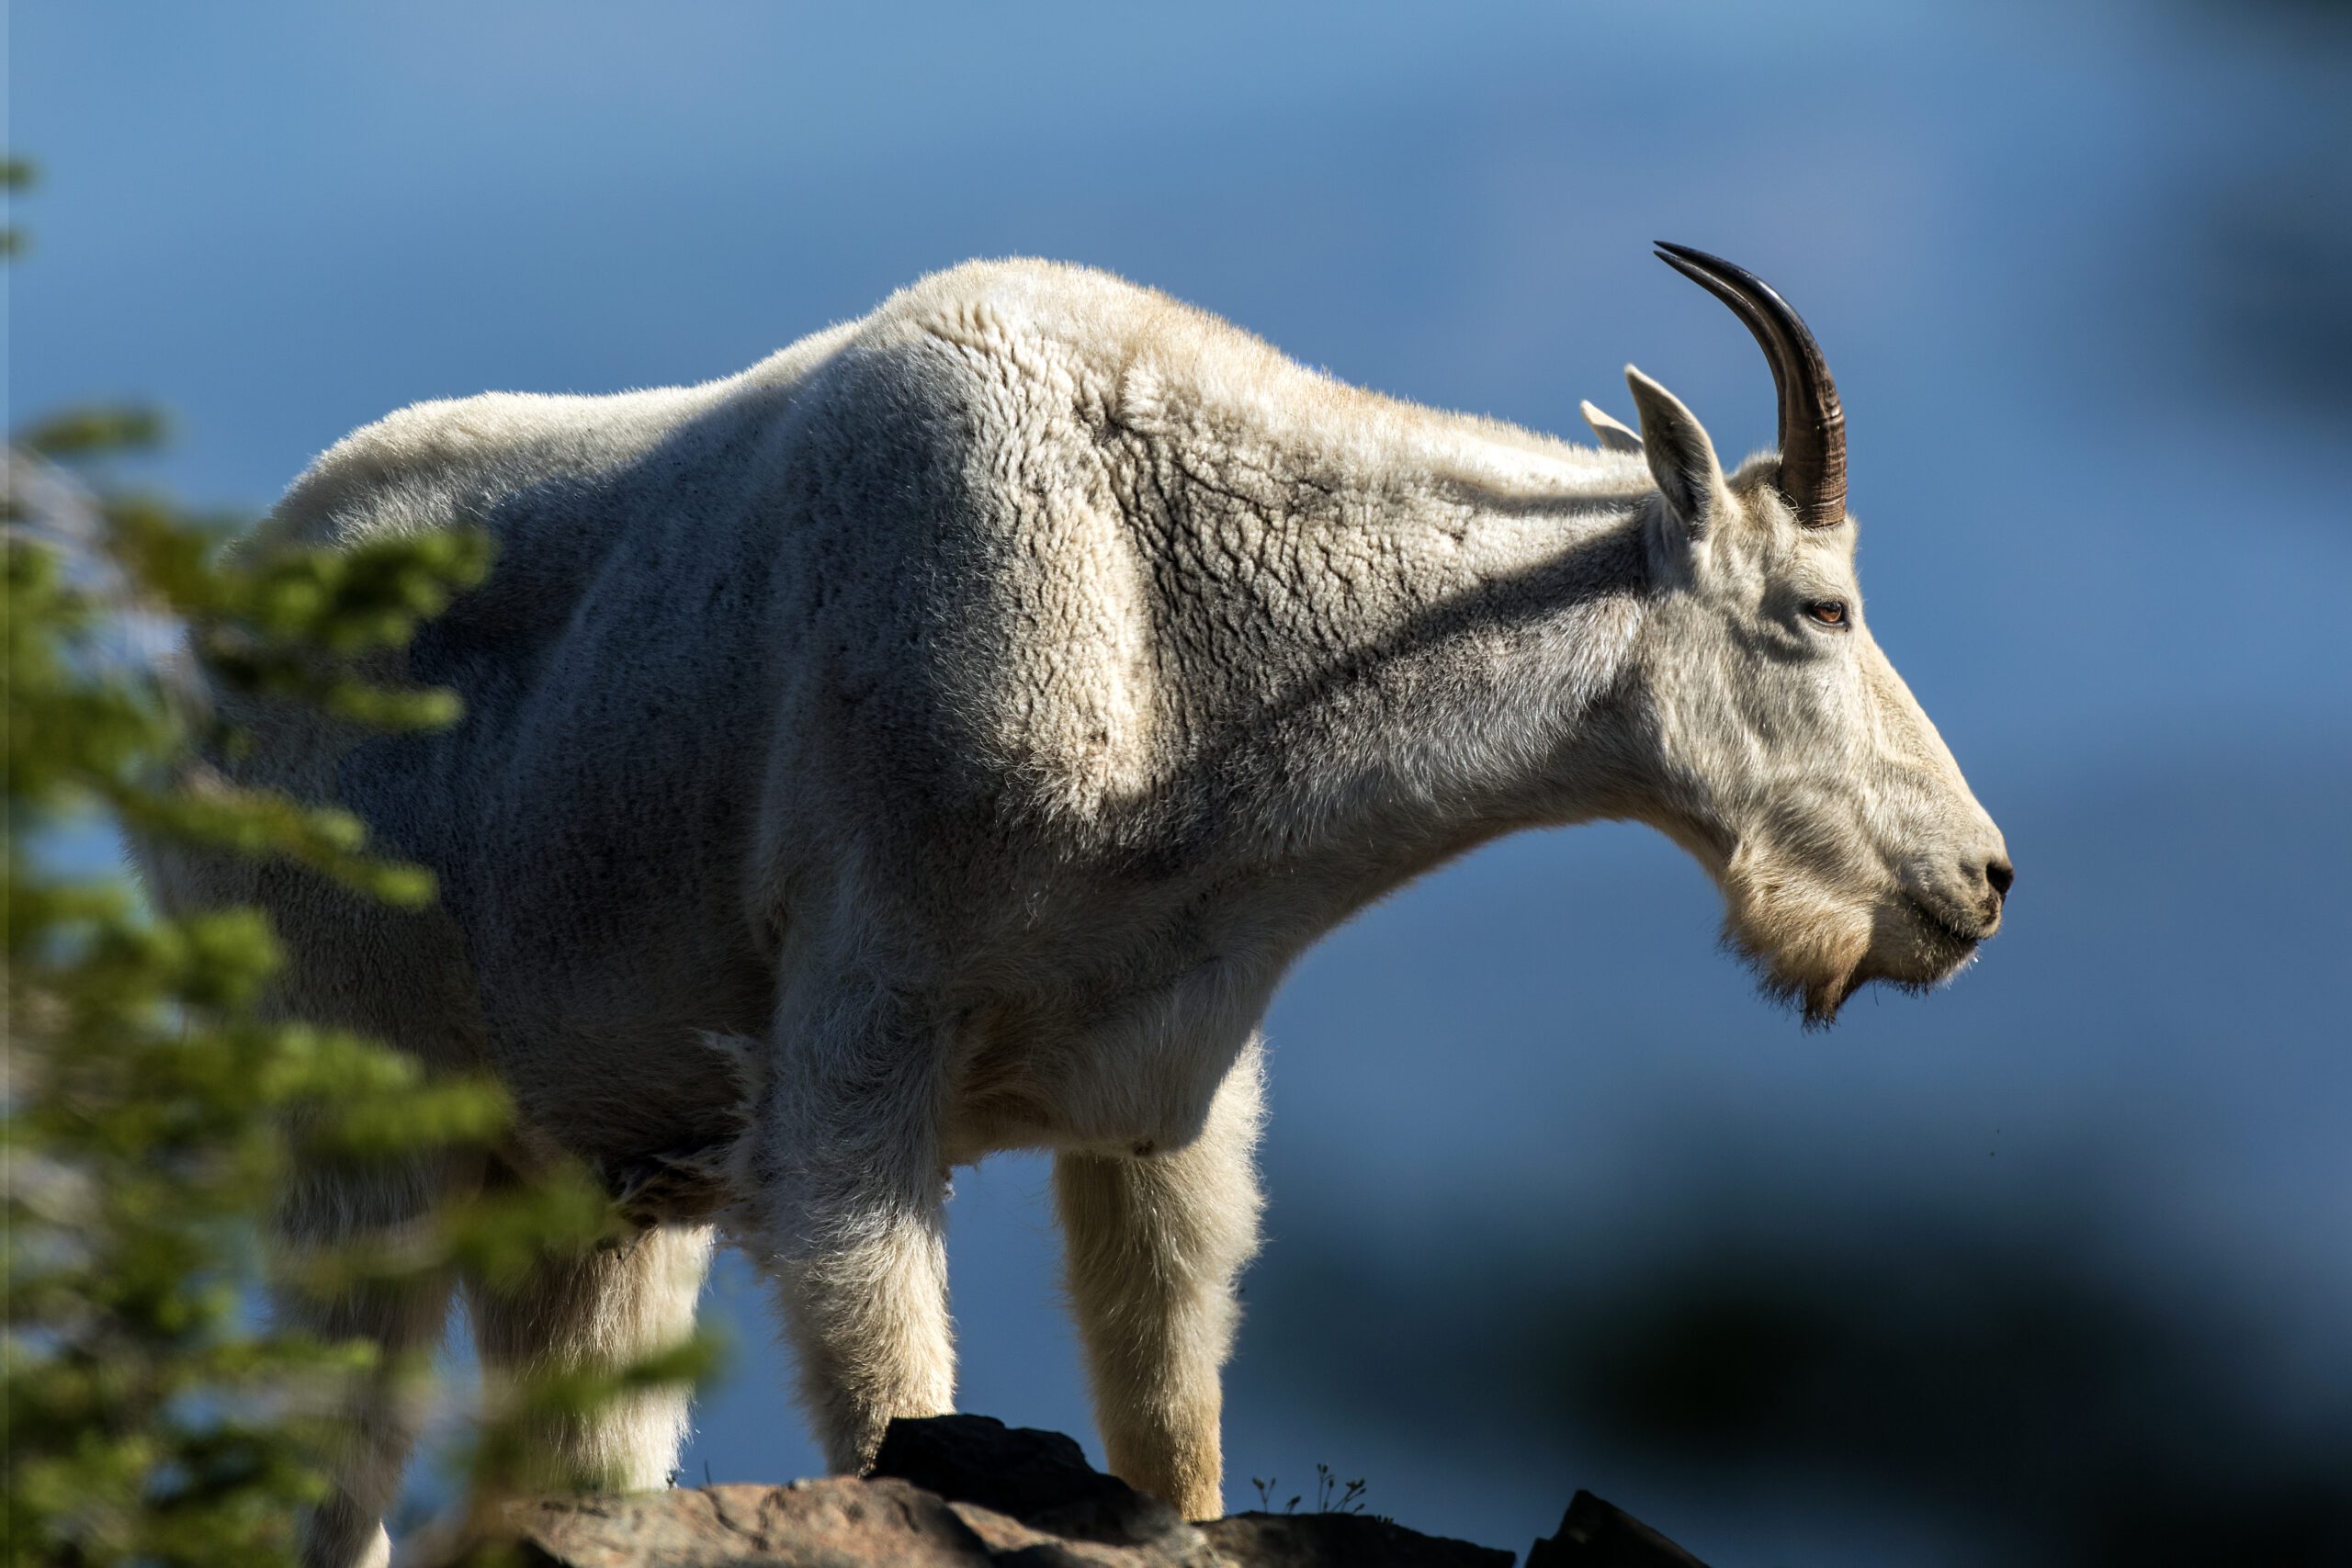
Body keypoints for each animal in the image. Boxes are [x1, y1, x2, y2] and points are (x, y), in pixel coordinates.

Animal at [141, 240, 2004, 1561]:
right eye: (1823, 608)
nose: (1978, 884)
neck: (1170, 619)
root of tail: (200, 674)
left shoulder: (1167, 1078)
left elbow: (1169, 1402)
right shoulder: (859, 1035)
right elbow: (890, 1382)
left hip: (582, 1193)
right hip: (353, 1120)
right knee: (334, 1461)